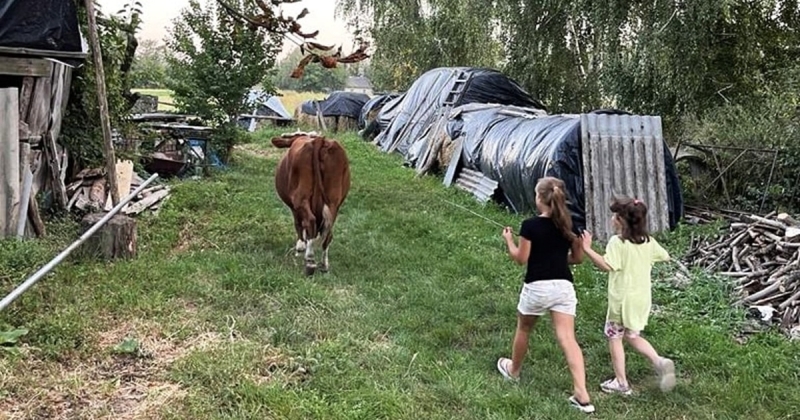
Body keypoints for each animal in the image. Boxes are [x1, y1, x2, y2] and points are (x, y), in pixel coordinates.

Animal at [272, 132, 350, 276]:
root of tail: (320, 140)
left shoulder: (294, 208)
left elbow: (298, 224)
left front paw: (300, 246)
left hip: (300, 197)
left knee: (310, 220)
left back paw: (310, 261)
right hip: (334, 201)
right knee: (328, 231)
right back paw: (324, 265)